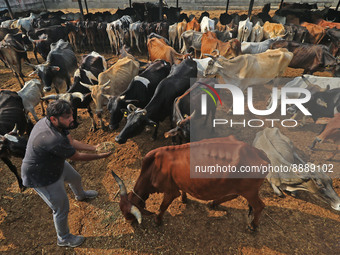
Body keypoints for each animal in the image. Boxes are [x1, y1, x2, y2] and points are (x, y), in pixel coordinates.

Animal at [113, 136, 270, 232]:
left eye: (127, 213)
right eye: (120, 208)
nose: (128, 221)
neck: (154, 167)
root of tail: (259, 153)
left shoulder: (170, 192)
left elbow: (162, 206)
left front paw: (157, 220)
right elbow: (182, 191)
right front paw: (184, 199)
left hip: (250, 191)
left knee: (259, 206)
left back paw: (253, 226)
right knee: (233, 195)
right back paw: (213, 203)